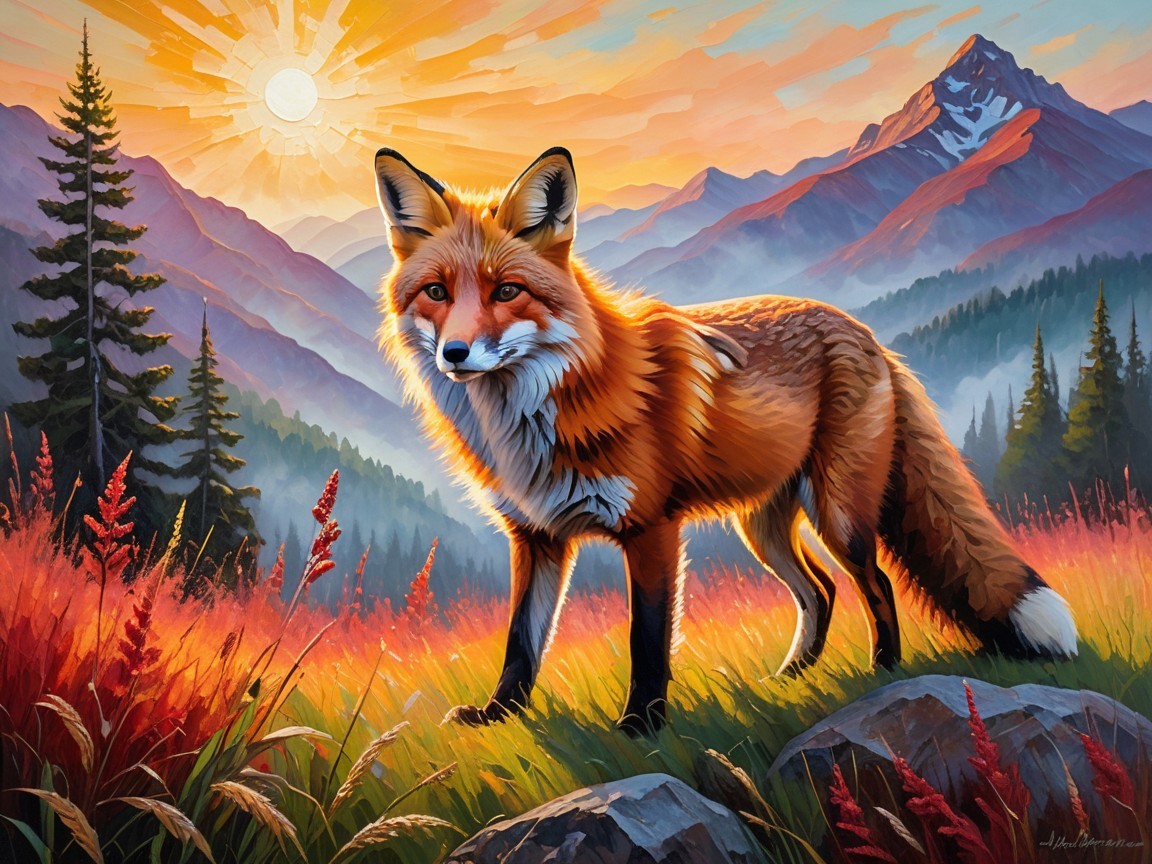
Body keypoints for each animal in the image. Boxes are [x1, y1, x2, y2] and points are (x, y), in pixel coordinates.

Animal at [373, 146, 1078, 736]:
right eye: (437, 292)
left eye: (506, 291)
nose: (455, 354)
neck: (539, 414)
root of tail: (868, 333)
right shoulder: (536, 535)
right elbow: (522, 641)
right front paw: (499, 716)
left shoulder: (651, 528)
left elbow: (648, 639)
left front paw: (641, 726)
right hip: (762, 525)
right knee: (820, 592)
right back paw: (790, 678)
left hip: (838, 514)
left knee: (874, 585)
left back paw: (885, 672)